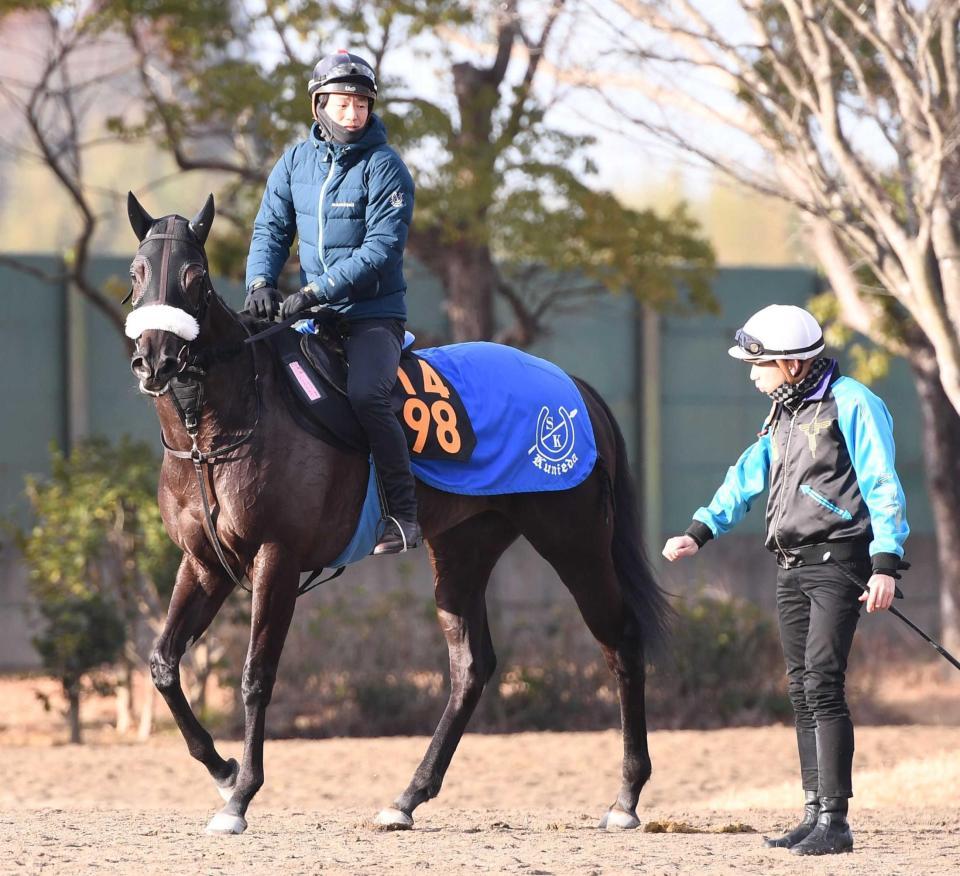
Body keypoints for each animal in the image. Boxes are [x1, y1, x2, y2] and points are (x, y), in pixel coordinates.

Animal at [124, 193, 672, 836]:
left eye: (196, 276)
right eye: (135, 273)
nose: (154, 360)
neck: (221, 425)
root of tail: (576, 388)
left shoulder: (275, 560)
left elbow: (257, 676)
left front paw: (241, 796)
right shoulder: (205, 563)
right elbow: (163, 664)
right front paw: (222, 768)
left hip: (575, 542)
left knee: (621, 640)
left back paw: (627, 796)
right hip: (463, 550)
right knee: (471, 669)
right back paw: (408, 796)